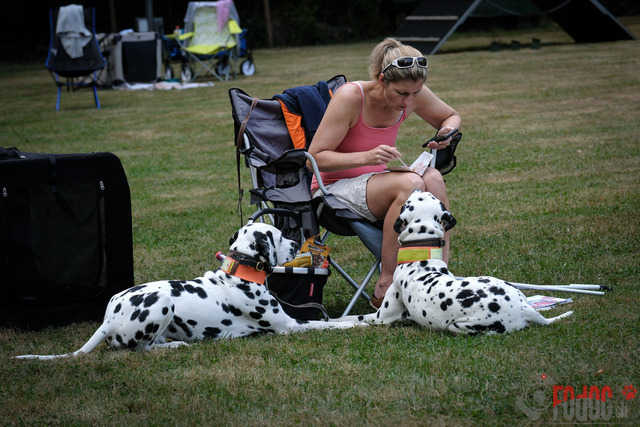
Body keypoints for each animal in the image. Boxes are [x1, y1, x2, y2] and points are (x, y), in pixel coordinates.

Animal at [15, 223, 359, 360]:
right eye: (277, 234)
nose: (296, 242)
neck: (240, 273)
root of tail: (107, 319)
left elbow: (339, 320)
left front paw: (362, 317)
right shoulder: (289, 326)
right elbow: (329, 326)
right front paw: (360, 325)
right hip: (162, 300)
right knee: (139, 350)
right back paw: (177, 347)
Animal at [339, 190, 573, 335]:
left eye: (411, 200)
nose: (416, 185)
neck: (421, 254)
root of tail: (525, 307)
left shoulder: (381, 317)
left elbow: (351, 318)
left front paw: (334, 323)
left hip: (459, 326)